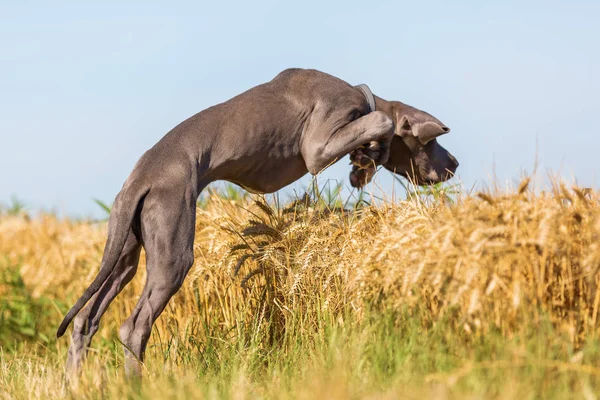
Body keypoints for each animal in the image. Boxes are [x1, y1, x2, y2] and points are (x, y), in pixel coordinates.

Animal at [56, 67, 460, 376]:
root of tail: (140, 178)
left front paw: (365, 162)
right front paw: (372, 153)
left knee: (85, 320)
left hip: (125, 251)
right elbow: (380, 121)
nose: (454, 164)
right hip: (173, 252)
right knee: (133, 327)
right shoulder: (317, 147)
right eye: (430, 143)